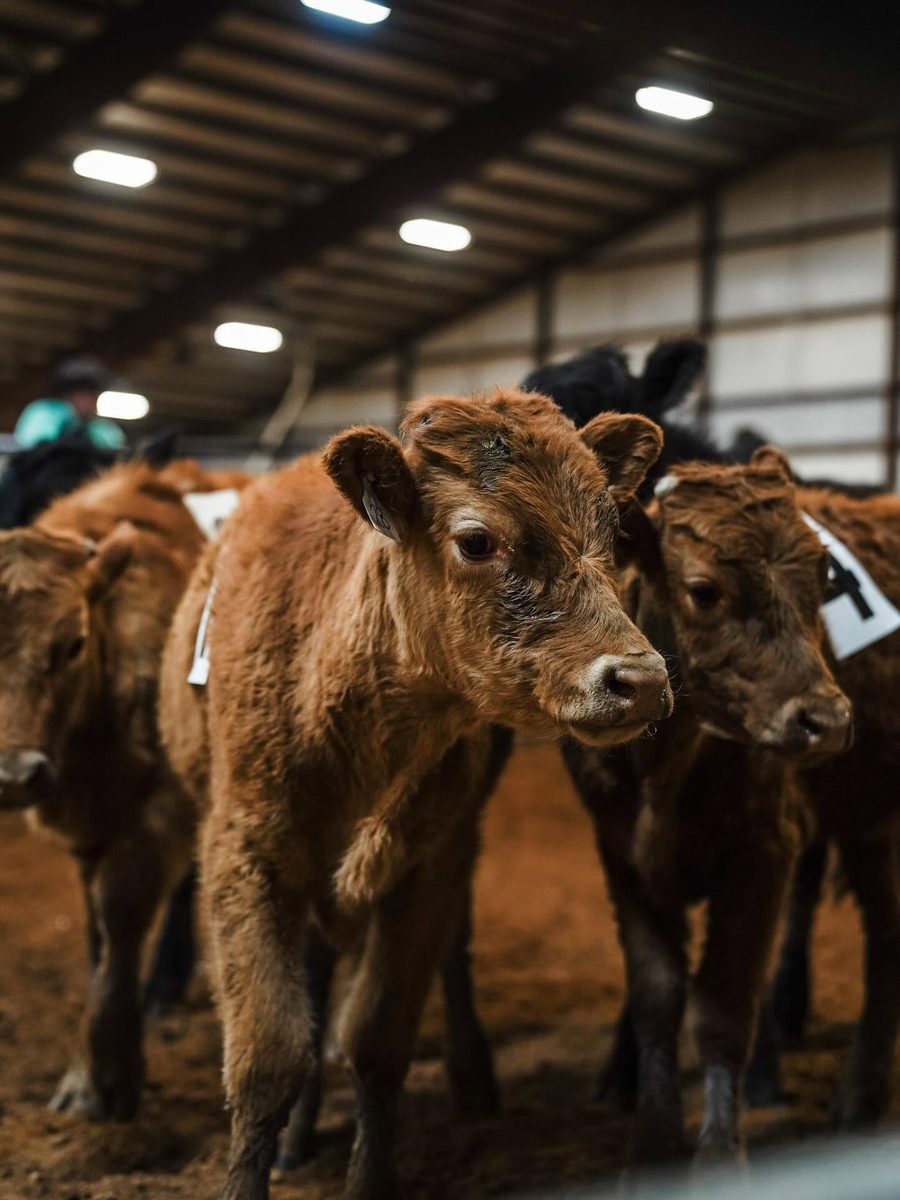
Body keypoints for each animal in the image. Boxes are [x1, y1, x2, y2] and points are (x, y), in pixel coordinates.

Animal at [0, 460, 241, 1121]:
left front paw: (101, 1074)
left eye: (73, 644)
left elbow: (122, 910)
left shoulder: (158, 807)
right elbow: (98, 929)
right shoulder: (89, 827)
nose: (16, 775)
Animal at [159, 389, 674, 1200]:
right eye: (477, 540)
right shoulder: (244, 852)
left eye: (609, 533)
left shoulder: (429, 861)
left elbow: (376, 1041)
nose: (642, 680)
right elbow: (268, 1054)